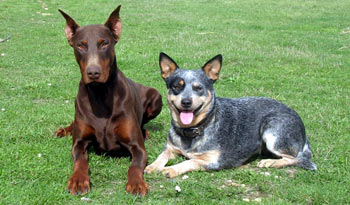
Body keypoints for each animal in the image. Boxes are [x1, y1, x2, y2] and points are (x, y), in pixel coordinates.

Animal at [55, 5, 163, 196]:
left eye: (104, 43)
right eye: (80, 45)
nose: (93, 72)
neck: (101, 95)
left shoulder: (138, 147)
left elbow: (135, 166)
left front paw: (136, 183)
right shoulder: (79, 143)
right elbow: (80, 161)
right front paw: (78, 180)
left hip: (157, 98)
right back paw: (63, 130)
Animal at [146, 52, 318, 178]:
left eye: (198, 88)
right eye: (177, 86)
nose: (186, 102)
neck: (195, 130)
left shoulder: (215, 161)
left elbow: (191, 161)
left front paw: (171, 169)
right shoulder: (170, 148)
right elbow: (162, 155)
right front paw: (152, 166)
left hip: (272, 132)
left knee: (297, 158)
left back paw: (270, 162)